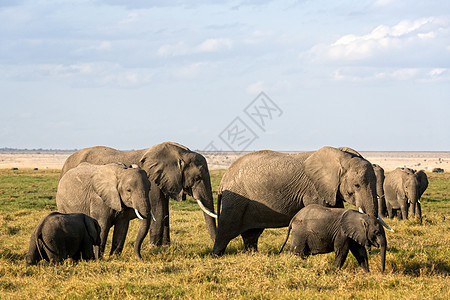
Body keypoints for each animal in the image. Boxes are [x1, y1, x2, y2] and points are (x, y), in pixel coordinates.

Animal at [59, 142, 218, 247]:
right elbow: (158, 208)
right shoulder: (152, 180)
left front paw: (165, 247)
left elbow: (165, 210)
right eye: (198, 178)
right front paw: (154, 248)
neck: (180, 153)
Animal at [211, 146, 390, 256]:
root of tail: (224, 179)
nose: (370, 250)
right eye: (356, 185)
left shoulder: (331, 189)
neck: (340, 156)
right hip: (235, 201)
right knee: (226, 229)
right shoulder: (314, 188)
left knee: (252, 233)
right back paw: (215, 256)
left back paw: (253, 254)